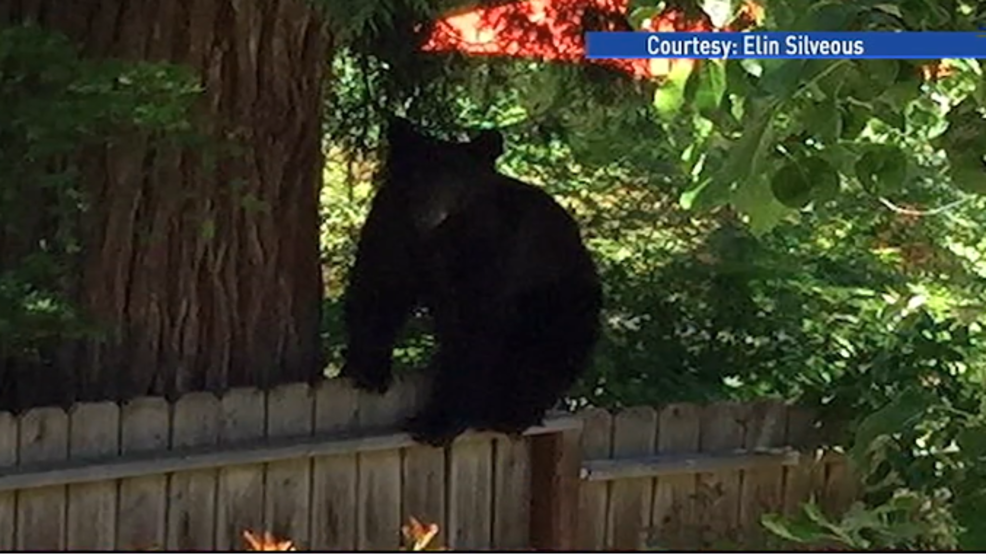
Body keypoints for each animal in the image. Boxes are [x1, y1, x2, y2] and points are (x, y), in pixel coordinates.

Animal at [340, 116, 602, 447]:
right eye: (416, 172)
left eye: (456, 178)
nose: (428, 212)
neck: (438, 238)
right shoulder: (393, 227)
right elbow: (381, 286)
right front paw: (367, 369)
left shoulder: (489, 252)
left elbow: (473, 329)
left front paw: (435, 423)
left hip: (562, 296)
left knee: (549, 350)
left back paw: (511, 412)